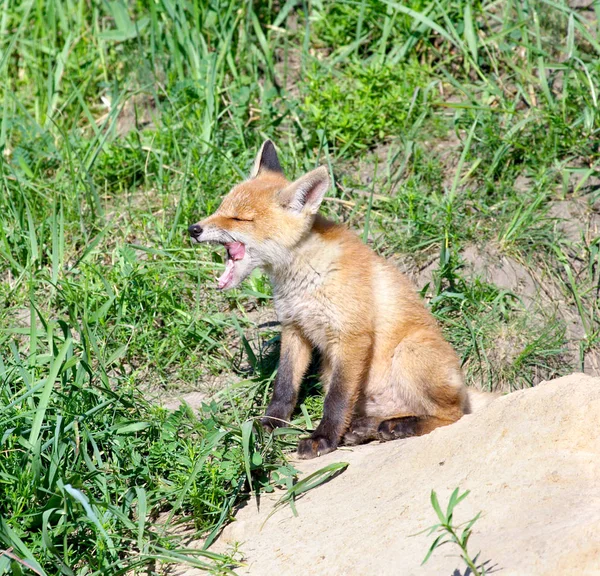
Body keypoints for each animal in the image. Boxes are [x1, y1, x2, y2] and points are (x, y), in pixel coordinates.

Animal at [188, 140, 492, 460]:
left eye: (240, 218)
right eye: (221, 208)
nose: (193, 229)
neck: (305, 278)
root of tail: (464, 388)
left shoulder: (352, 336)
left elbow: (336, 399)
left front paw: (322, 438)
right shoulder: (294, 329)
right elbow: (284, 387)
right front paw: (269, 424)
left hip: (410, 352)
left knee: (453, 414)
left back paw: (400, 426)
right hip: (331, 369)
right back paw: (366, 429)